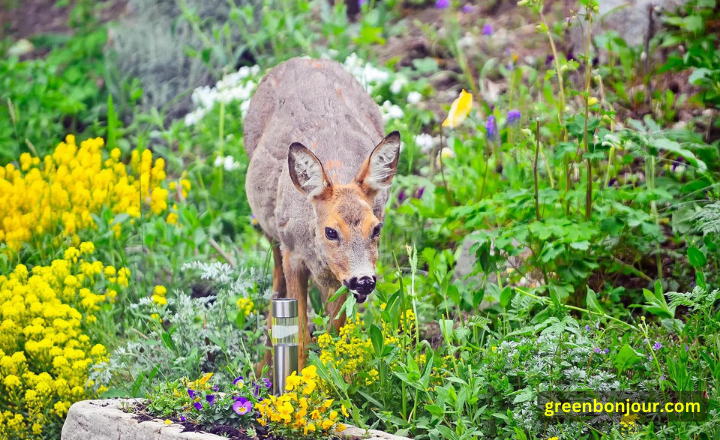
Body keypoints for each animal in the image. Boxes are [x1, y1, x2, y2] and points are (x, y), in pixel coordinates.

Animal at [242, 57, 400, 372]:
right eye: (331, 231)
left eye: (376, 228)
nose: (364, 280)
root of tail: (303, 58)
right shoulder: (293, 255)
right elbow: (300, 335)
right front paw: (299, 379)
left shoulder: (338, 279)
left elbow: (337, 335)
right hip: (271, 232)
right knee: (275, 286)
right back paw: (262, 367)